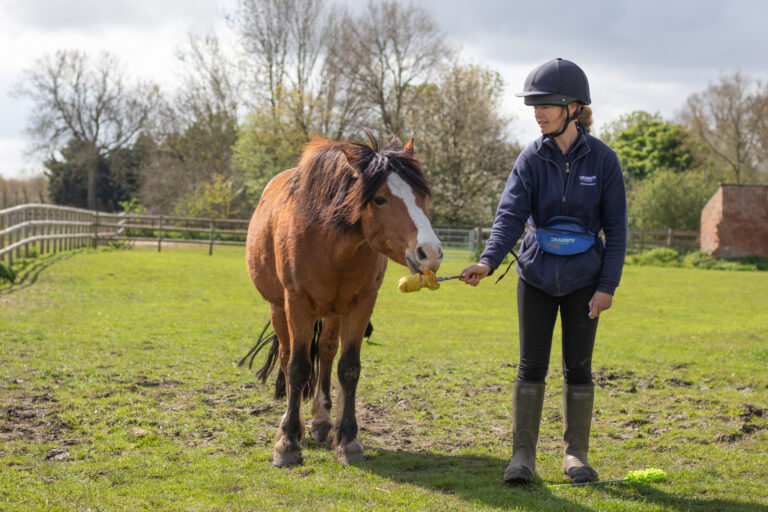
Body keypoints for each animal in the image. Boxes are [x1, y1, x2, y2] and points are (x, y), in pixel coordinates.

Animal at [242, 133, 443, 466]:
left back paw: (322, 422)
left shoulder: (361, 304)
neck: (328, 241)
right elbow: (297, 368)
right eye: (379, 199)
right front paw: (288, 442)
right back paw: (292, 425)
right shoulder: (296, 304)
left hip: (333, 312)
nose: (430, 252)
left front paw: (348, 440)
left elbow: (349, 368)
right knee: (286, 356)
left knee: (325, 352)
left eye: (421, 196)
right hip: (279, 308)